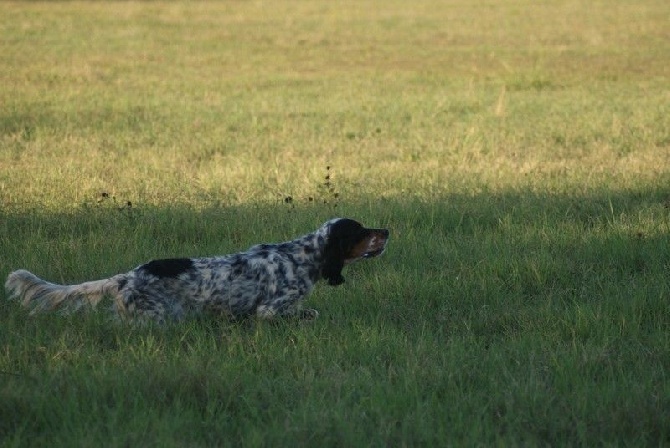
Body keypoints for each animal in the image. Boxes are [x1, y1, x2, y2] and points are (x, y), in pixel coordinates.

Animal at [3, 217, 388, 322]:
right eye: (361, 231)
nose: (386, 230)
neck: (303, 256)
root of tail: (126, 277)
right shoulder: (269, 309)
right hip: (157, 316)